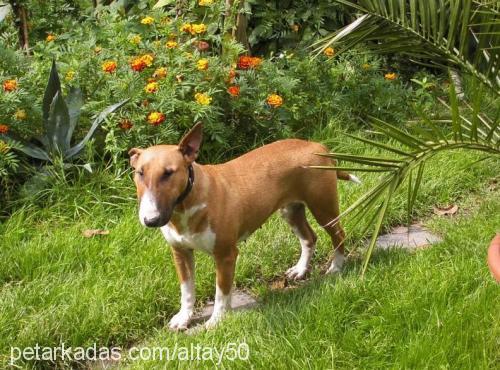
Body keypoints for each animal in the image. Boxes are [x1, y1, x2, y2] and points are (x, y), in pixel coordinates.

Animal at [127, 123, 358, 330]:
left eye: (168, 173)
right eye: (139, 173)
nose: (151, 220)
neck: (186, 204)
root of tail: (317, 145)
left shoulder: (225, 255)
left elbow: (221, 292)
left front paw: (217, 321)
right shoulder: (180, 253)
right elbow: (187, 290)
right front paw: (183, 318)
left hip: (323, 208)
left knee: (339, 234)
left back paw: (336, 267)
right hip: (290, 210)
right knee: (309, 237)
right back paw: (300, 270)